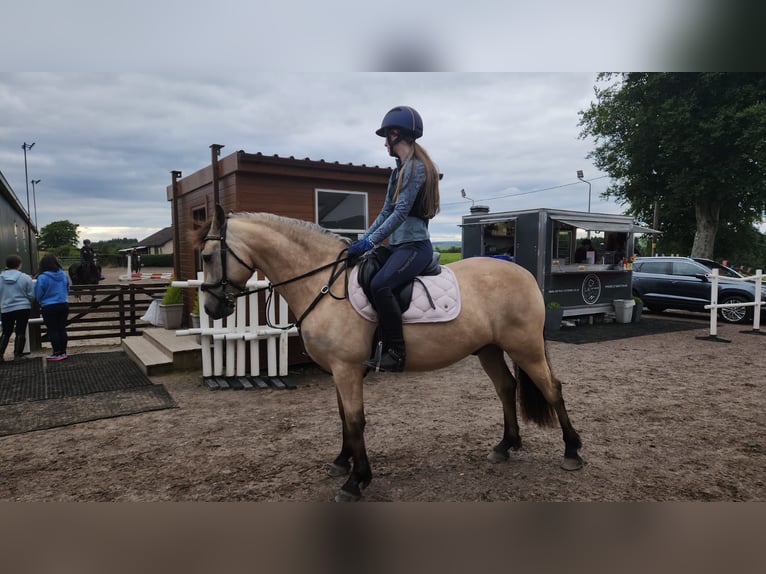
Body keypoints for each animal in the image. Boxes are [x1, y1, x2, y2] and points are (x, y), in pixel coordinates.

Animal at [195, 208, 584, 504]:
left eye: (207, 256)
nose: (212, 308)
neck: (324, 284)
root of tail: (522, 273)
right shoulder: (339, 371)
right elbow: (343, 418)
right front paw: (342, 462)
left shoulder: (347, 369)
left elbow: (355, 421)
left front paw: (356, 481)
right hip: (489, 349)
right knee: (506, 387)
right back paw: (506, 446)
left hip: (525, 347)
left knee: (552, 389)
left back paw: (572, 451)